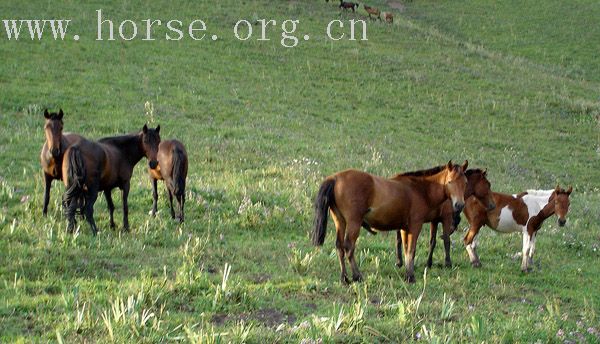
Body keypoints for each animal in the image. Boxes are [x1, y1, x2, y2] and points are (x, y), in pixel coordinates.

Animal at [312, 160, 472, 284]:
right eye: (450, 182)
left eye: (465, 182)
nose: (459, 205)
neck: (420, 190)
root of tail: (335, 178)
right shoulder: (415, 226)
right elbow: (411, 250)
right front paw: (411, 277)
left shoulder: (404, 229)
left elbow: (406, 250)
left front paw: (407, 273)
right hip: (354, 223)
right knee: (348, 247)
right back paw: (357, 276)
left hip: (340, 222)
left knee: (339, 247)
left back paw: (344, 278)